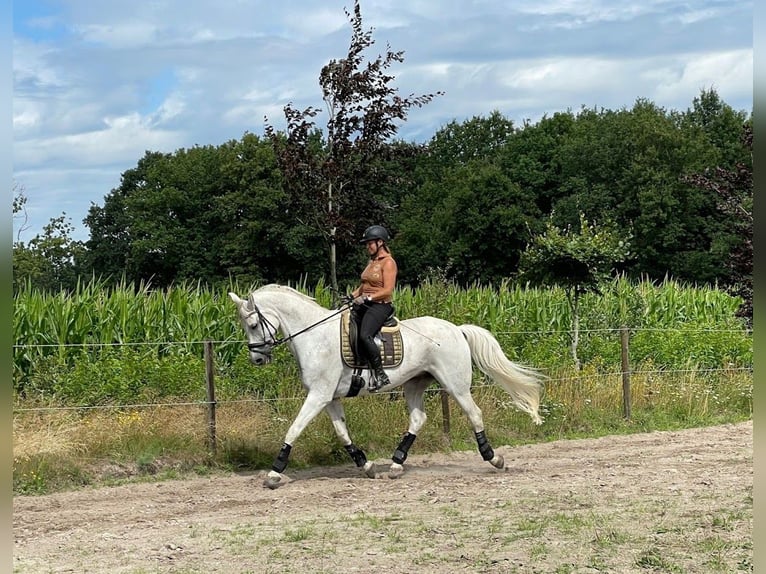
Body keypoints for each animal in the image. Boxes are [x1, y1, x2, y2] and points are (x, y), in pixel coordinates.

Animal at [230, 284, 544, 490]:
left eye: (254, 324)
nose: (257, 358)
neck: (314, 336)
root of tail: (456, 329)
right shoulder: (329, 397)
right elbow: (343, 434)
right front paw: (367, 466)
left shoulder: (318, 395)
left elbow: (293, 429)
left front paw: (274, 474)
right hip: (415, 384)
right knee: (418, 419)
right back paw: (395, 465)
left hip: (455, 385)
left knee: (474, 414)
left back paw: (495, 459)